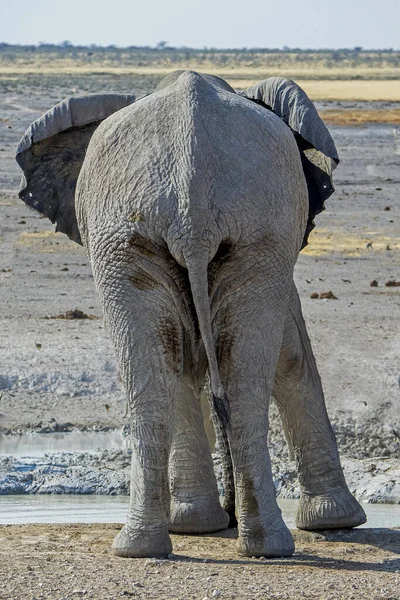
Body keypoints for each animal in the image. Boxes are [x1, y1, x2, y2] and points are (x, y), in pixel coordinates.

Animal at [15, 70, 366, 556]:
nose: (231, 510)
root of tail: (190, 192)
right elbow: (289, 354)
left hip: (184, 229)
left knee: (176, 371)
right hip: (163, 231)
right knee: (206, 372)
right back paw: (225, 540)